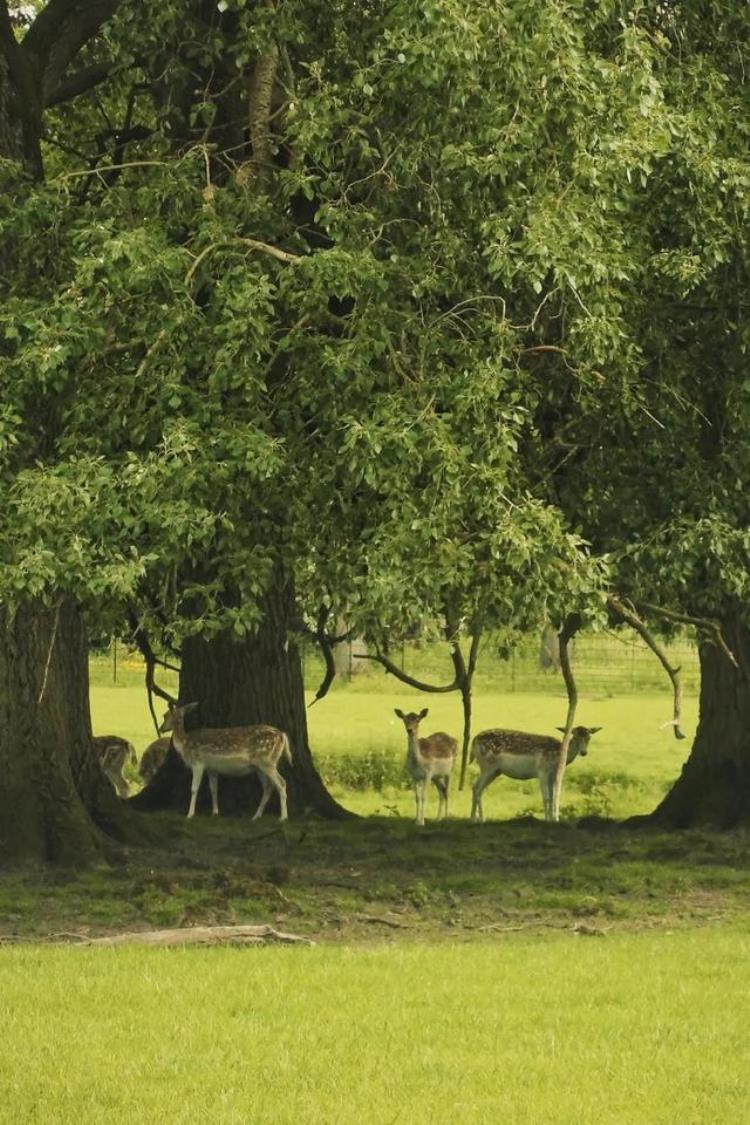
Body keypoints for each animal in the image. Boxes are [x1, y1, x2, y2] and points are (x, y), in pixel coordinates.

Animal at [159, 702, 292, 819]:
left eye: (165, 715)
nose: (161, 728)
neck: (185, 743)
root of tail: (282, 735)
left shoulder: (198, 762)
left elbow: (193, 789)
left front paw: (190, 815)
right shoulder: (211, 768)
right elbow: (213, 789)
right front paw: (215, 812)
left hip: (267, 761)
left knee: (281, 783)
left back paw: (283, 817)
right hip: (260, 766)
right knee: (268, 787)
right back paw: (256, 816)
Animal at [470, 724, 602, 823]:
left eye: (589, 737)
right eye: (574, 737)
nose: (583, 752)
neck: (558, 757)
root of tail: (474, 741)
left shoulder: (553, 774)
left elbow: (553, 796)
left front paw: (554, 820)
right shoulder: (542, 771)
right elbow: (546, 797)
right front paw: (547, 820)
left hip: (496, 771)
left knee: (477, 787)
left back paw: (474, 818)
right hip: (487, 766)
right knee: (477, 787)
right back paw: (480, 819)